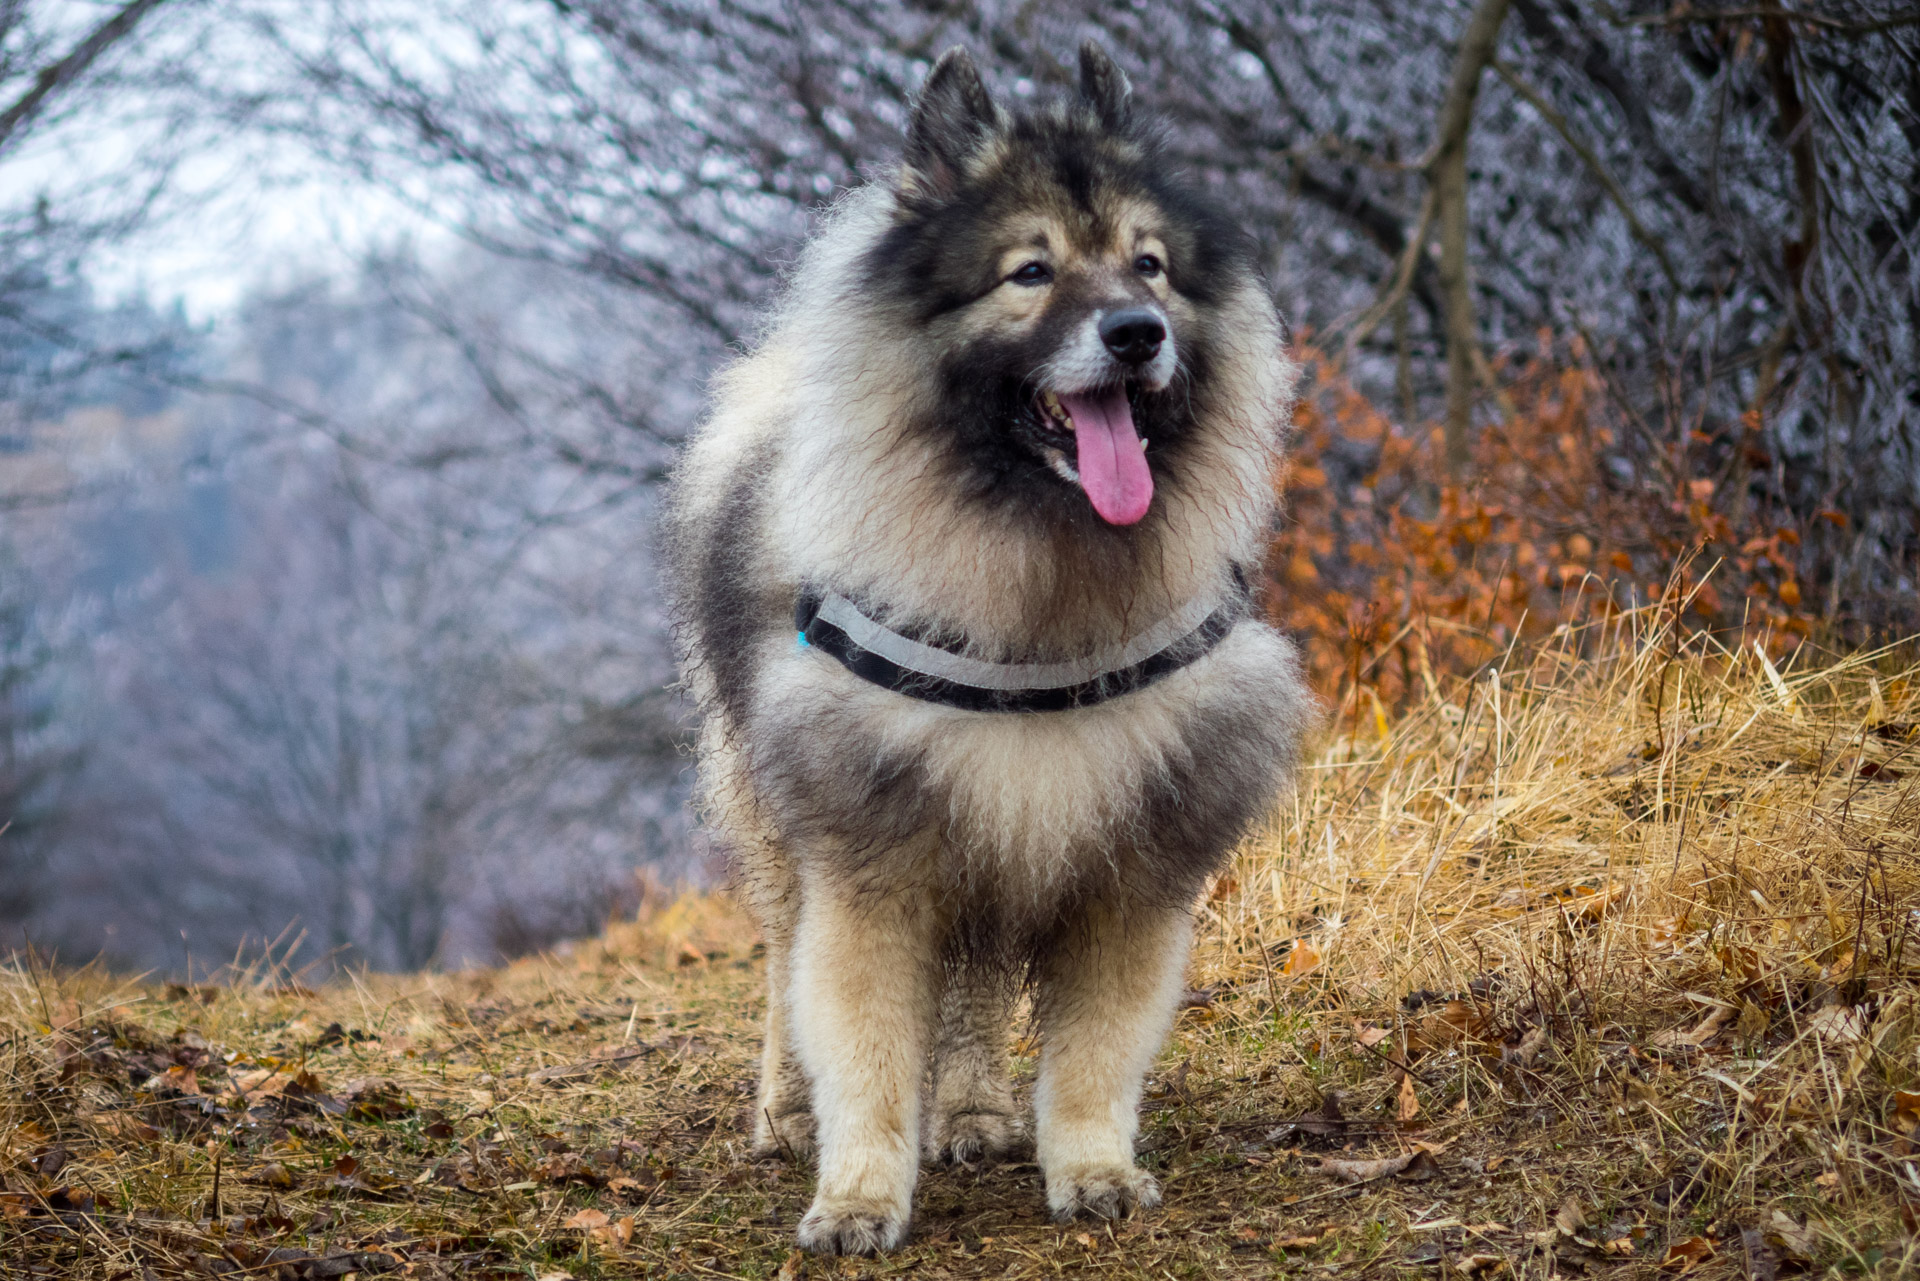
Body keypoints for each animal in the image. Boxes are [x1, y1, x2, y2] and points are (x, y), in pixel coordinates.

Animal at [668, 42, 1313, 1259]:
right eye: (1030, 272)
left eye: (1149, 266)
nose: (1136, 333)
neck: (1039, 576)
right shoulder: (869, 860)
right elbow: (864, 1051)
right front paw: (858, 1194)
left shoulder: (1127, 866)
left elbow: (1093, 1054)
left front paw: (1091, 1168)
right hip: (775, 812)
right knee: (781, 964)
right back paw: (784, 1114)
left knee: (969, 995)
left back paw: (972, 1110)